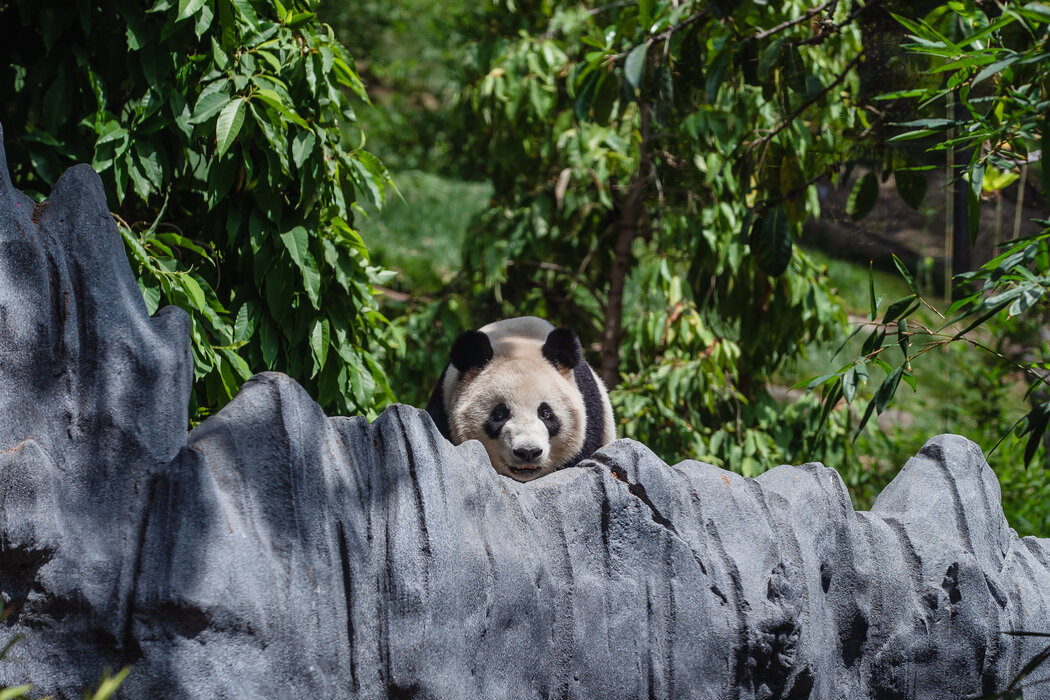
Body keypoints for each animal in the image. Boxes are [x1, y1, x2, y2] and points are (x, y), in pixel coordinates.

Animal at [424, 316, 613, 482]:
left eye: (546, 413)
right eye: (499, 414)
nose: (528, 452)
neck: (517, 341)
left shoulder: (591, 414)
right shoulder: (443, 406)